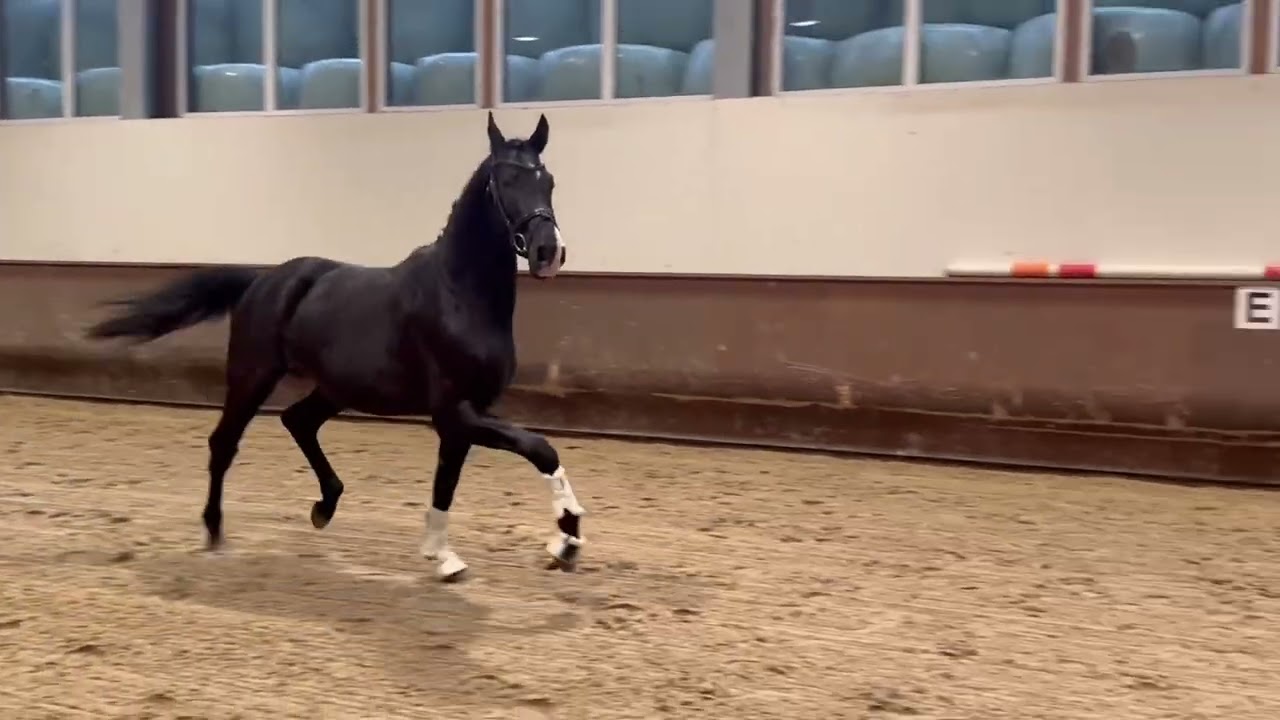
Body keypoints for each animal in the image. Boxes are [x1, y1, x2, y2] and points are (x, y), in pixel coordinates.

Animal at [86, 112, 585, 581]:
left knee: (297, 421)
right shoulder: (454, 411)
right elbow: (541, 448)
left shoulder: (464, 417)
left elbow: (446, 482)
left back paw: (324, 507)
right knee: (224, 442)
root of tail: (264, 280)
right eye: (506, 180)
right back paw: (214, 532)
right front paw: (567, 539)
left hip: (334, 388)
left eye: (547, 180)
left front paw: (442, 558)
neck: (459, 295)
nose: (548, 252)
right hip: (252, 376)